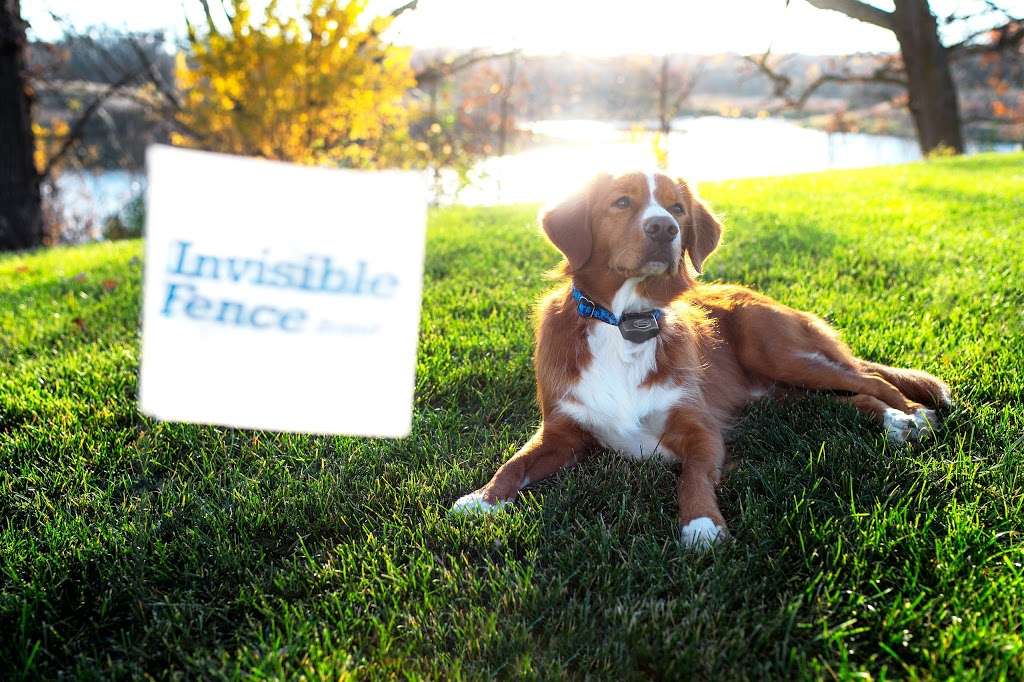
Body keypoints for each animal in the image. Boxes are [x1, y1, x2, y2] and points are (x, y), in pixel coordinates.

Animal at [452, 171, 946, 548]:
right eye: (621, 202)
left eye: (677, 209)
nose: (664, 229)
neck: (624, 324)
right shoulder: (562, 431)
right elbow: (514, 462)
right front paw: (482, 498)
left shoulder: (701, 429)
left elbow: (692, 476)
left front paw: (702, 524)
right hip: (782, 393)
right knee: (852, 396)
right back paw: (896, 420)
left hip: (777, 351)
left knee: (868, 379)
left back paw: (911, 417)